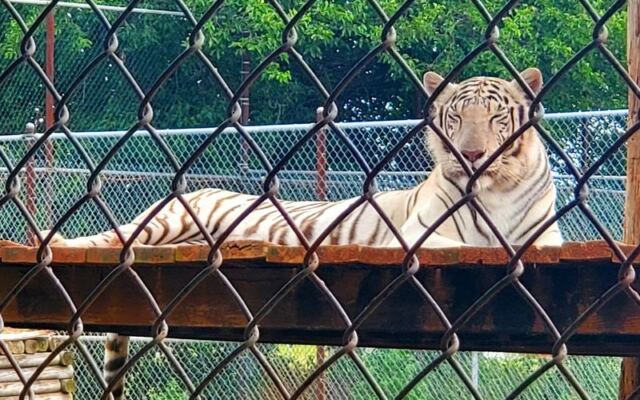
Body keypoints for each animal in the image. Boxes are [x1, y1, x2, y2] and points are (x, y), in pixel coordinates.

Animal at [42, 68, 562, 399]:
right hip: (168, 218)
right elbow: (468, 243)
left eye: (495, 118)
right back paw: (54, 239)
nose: (471, 155)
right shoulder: (416, 234)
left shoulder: (549, 240)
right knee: (111, 238)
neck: (495, 190)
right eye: (456, 118)